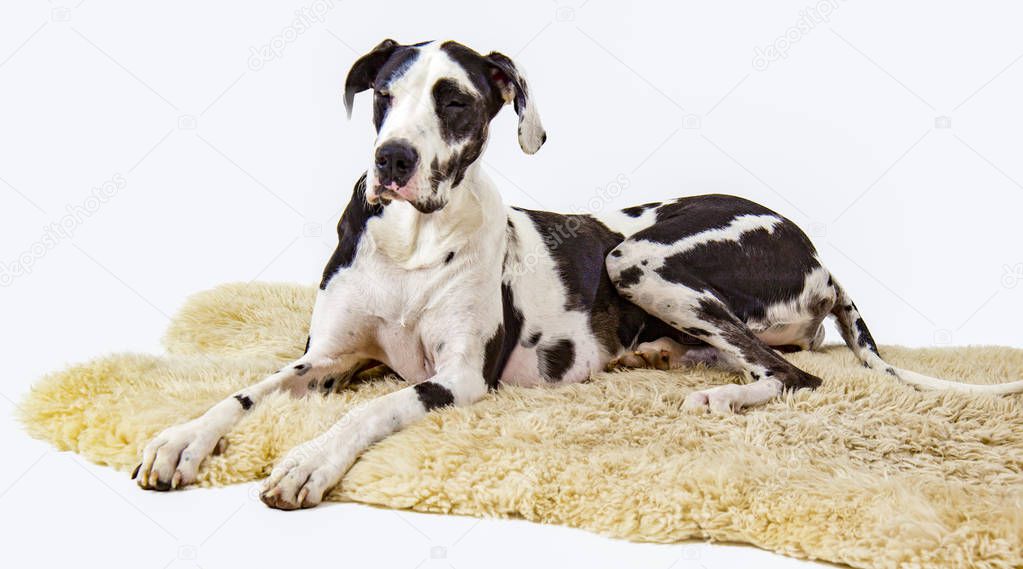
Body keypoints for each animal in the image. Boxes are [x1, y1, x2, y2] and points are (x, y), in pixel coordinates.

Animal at [134, 41, 1023, 511]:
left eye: (454, 101)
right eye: (384, 92)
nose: (391, 161)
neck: (412, 242)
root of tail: (822, 254)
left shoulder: (459, 378)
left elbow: (374, 408)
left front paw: (307, 459)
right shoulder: (323, 358)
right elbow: (240, 392)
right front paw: (179, 438)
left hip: (639, 257)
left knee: (795, 375)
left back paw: (717, 394)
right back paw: (663, 357)